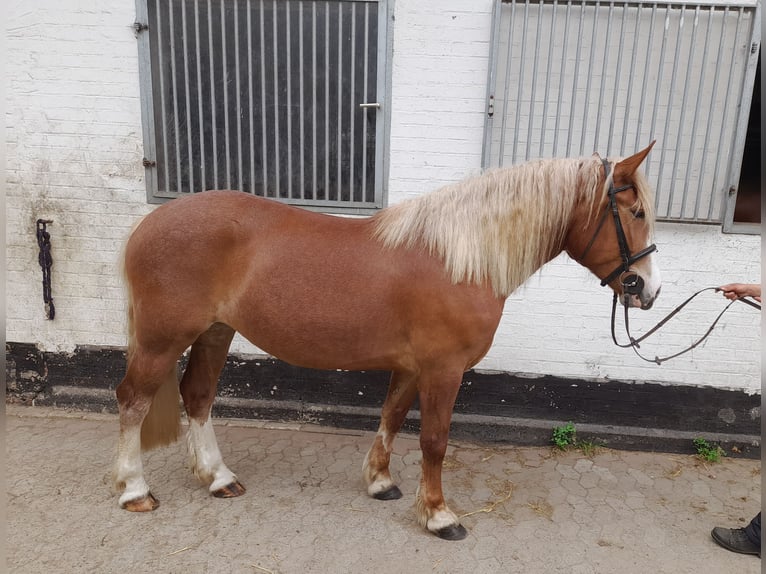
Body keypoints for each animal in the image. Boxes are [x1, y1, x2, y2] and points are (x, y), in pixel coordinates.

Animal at [112, 144, 660, 540]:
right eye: (634, 211)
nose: (647, 291)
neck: (459, 258)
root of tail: (148, 223)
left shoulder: (413, 367)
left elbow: (391, 417)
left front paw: (380, 482)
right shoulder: (443, 369)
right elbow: (434, 440)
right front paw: (439, 515)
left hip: (214, 333)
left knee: (198, 396)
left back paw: (219, 478)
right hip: (163, 339)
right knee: (133, 400)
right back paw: (134, 490)